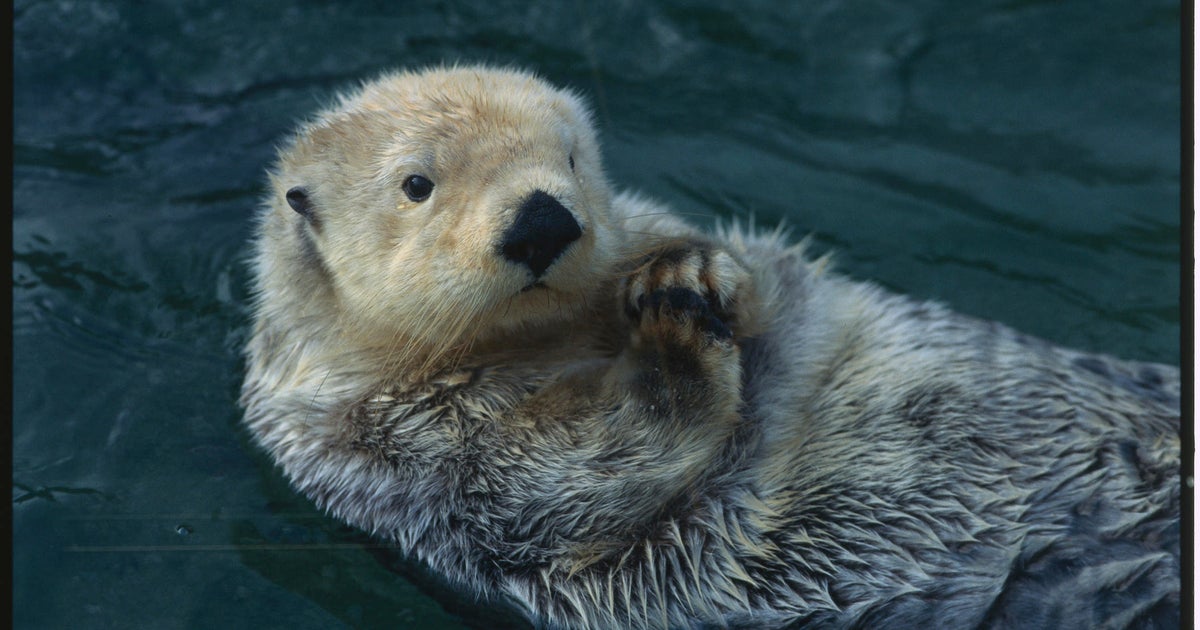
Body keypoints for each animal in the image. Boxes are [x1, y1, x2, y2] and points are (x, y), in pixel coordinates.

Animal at [241, 66, 1181, 629]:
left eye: (571, 159)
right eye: (417, 184)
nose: (544, 219)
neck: (556, 342)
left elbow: (770, 274)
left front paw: (690, 269)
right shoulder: (404, 451)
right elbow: (579, 473)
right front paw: (673, 338)